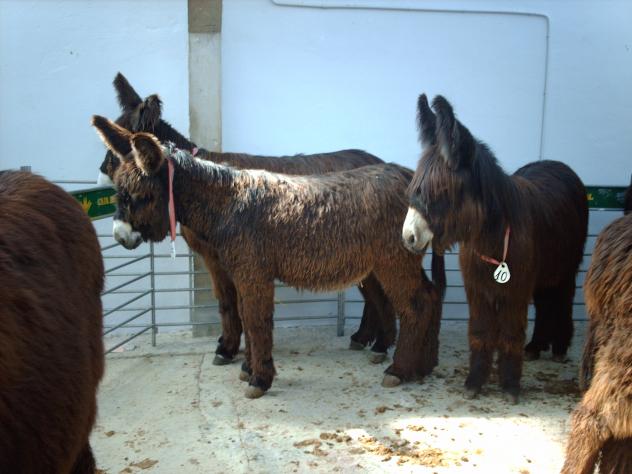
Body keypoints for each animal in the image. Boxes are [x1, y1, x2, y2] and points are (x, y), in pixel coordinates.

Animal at [92, 115, 444, 398]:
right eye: (119, 193)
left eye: (141, 196)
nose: (119, 236)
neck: (228, 204)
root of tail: (407, 175)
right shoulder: (236, 271)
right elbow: (242, 314)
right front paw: (247, 366)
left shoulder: (252, 272)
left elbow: (255, 319)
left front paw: (259, 378)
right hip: (388, 262)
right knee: (429, 294)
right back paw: (423, 365)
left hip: (394, 260)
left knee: (416, 304)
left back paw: (399, 369)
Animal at [97, 72, 401, 364]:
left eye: (122, 148)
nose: (101, 175)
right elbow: (231, 303)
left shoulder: (219, 257)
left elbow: (229, 303)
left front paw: (229, 348)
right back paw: (364, 338)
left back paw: (378, 343)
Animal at [403, 94, 588, 403]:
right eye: (414, 188)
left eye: (441, 191)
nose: (408, 237)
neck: (492, 239)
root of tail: (556, 163)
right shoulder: (477, 288)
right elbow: (480, 331)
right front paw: (475, 382)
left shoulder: (515, 289)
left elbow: (511, 333)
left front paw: (510, 386)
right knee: (546, 302)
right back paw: (536, 346)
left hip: (566, 267)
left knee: (562, 300)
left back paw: (560, 348)